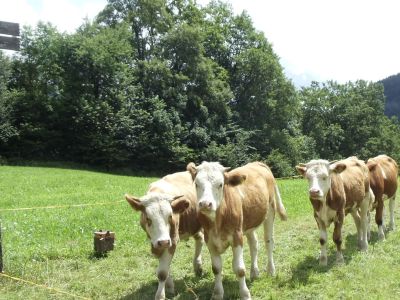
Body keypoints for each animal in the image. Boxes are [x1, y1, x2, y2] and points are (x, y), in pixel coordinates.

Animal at [124, 171, 203, 300]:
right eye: (148, 218)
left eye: (170, 216)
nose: (164, 242)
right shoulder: (154, 242)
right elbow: (164, 265)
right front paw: (170, 286)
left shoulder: (172, 240)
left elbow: (162, 273)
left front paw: (160, 295)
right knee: (200, 238)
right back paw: (198, 267)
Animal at [188, 162, 288, 300]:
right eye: (197, 184)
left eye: (220, 184)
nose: (205, 204)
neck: (217, 221)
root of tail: (258, 163)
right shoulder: (210, 239)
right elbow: (216, 268)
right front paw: (217, 293)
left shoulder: (237, 236)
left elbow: (240, 269)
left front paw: (245, 294)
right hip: (249, 223)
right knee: (254, 244)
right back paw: (254, 272)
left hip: (270, 212)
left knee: (269, 242)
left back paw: (271, 271)